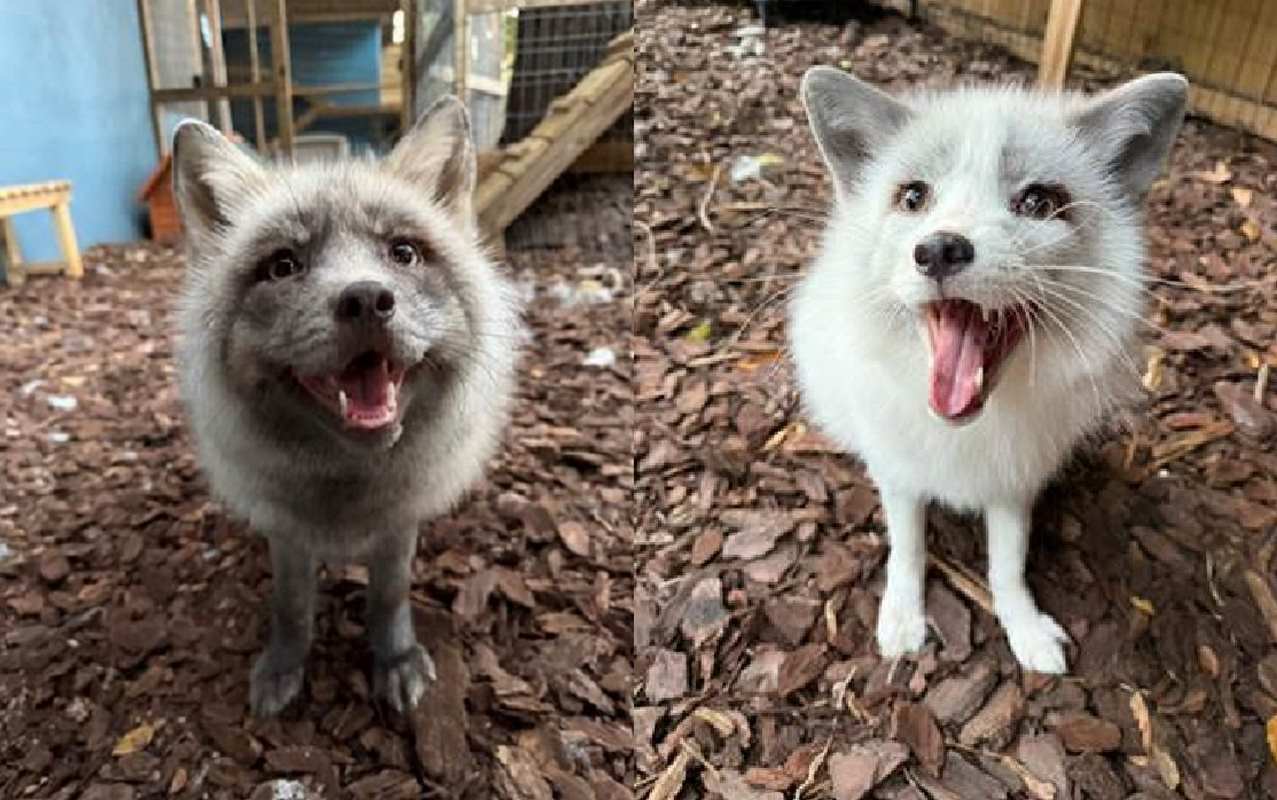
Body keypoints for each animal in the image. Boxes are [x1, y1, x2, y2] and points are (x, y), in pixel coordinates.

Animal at [170, 97, 522, 715]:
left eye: (403, 253)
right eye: (283, 266)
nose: (366, 299)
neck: (347, 493)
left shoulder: (399, 525)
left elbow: (389, 599)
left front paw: (395, 660)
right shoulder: (286, 532)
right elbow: (291, 608)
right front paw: (285, 665)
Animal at [789, 68, 1187, 673]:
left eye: (1039, 201)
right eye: (913, 197)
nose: (938, 249)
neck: (967, 434)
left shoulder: (1013, 485)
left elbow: (1007, 566)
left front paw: (1024, 629)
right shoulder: (900, 477)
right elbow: (908, 550)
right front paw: (902, 618)